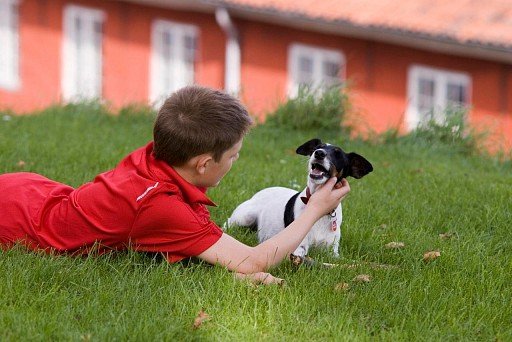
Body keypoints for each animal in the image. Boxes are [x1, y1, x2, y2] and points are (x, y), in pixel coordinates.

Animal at [227, 139, 372, 260]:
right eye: (317, 148)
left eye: (338, 154)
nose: (319, 153)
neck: (319, 215)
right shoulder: (298, 247)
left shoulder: (332, 251)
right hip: (245, 216)